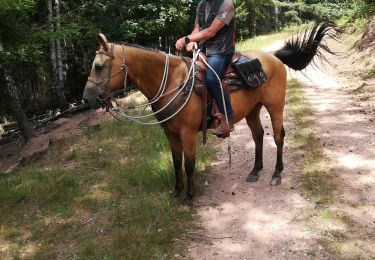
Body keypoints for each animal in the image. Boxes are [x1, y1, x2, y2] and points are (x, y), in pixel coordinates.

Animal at [84, 23, 334, 202]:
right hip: (252, 110)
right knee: (258, 135)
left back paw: (276, 175)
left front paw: (189, 197)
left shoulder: (188, 134)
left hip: (275, 107)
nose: (87, 98)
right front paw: (177, 191)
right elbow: (176, 162)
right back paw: (255, 171)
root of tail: (273, 56)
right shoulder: (170, 133)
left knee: (279, 136)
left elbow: (189, 164)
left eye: (98, 66)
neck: (173, 83)